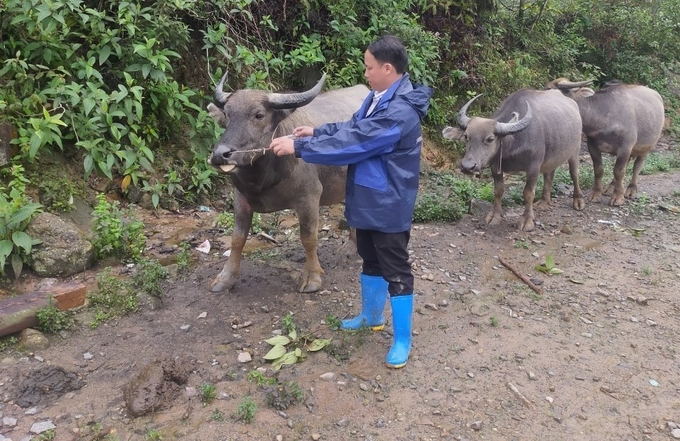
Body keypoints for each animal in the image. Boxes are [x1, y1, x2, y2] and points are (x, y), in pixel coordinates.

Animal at [207, 73, 370, 290]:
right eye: (227, 114)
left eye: (259, 115)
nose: (220, 155)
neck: (262, 177)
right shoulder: (240, 198)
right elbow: (237, 239)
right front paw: (225, 278)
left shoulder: (309, 197)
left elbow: (308, 237)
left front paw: (312, 277)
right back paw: (351, 247)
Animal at [440, 88, 584, 230]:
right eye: (466, 136)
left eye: (490, 139)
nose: (467, 166)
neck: (513, 141)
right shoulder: (495, 167)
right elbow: (498, 190)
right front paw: (495, 216)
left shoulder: (534, 167)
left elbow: (528, 193)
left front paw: (527, 220)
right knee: (549, 174)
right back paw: (544, 202)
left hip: (575, 150)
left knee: (574, 173)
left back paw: (578, 201)